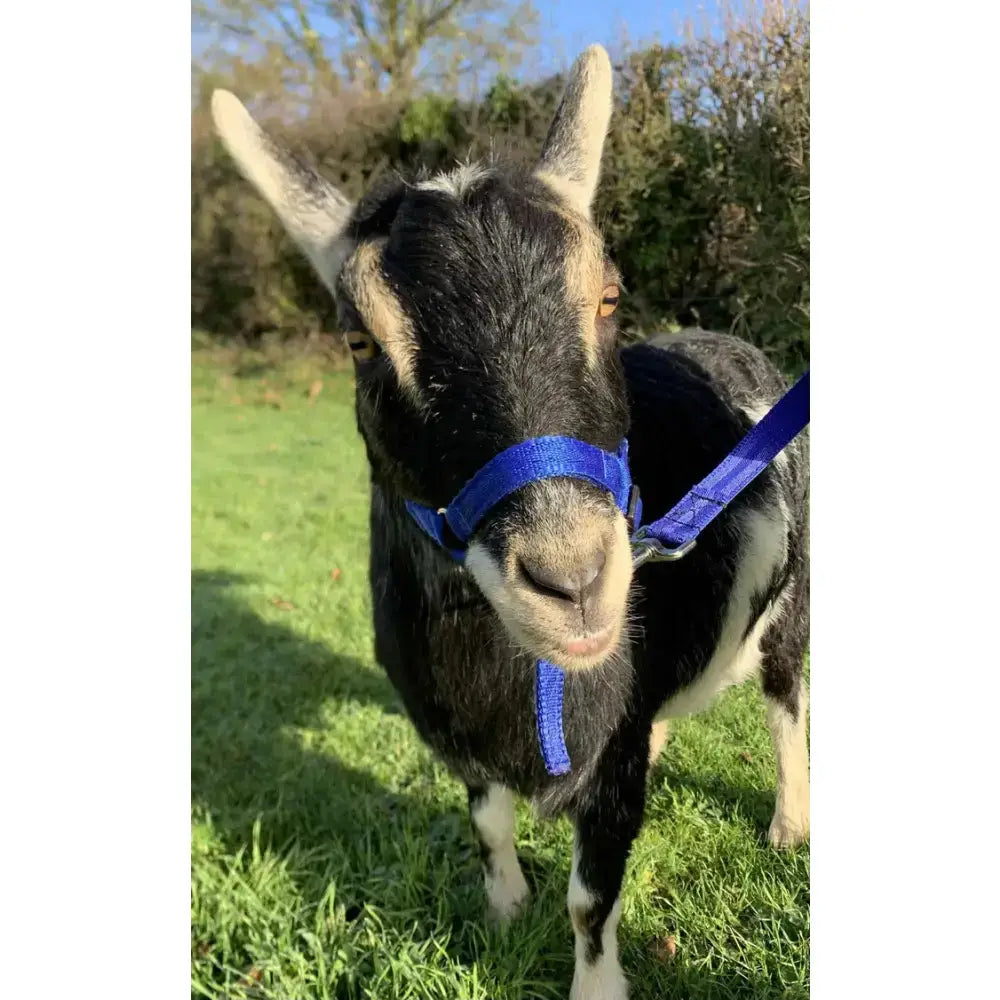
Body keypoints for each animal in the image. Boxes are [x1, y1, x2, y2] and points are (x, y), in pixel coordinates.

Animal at [211, 44, 809, 1000]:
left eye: (607, 298)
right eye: (359, 341)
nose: (574, 579)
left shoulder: (609, 764)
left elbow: (592, 896)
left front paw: (595, 986)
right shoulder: (454, 731)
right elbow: (489, 821)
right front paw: (503, 907)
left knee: (785, 693)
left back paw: (790, 822)